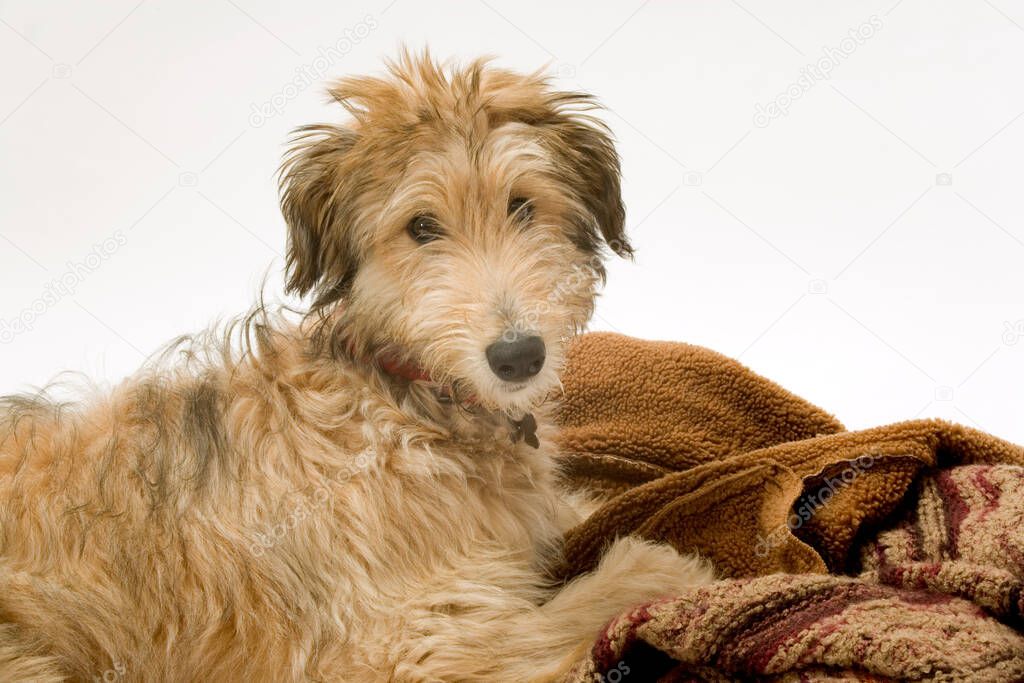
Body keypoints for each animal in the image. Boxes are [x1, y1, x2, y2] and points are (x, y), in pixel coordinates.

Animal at [0, 54, 712, 683]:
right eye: (421, 227)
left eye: (522, 205)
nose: (518, 357)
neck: (403, 400)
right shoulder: (414, 643)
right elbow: (587, 599)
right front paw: (671, 572)